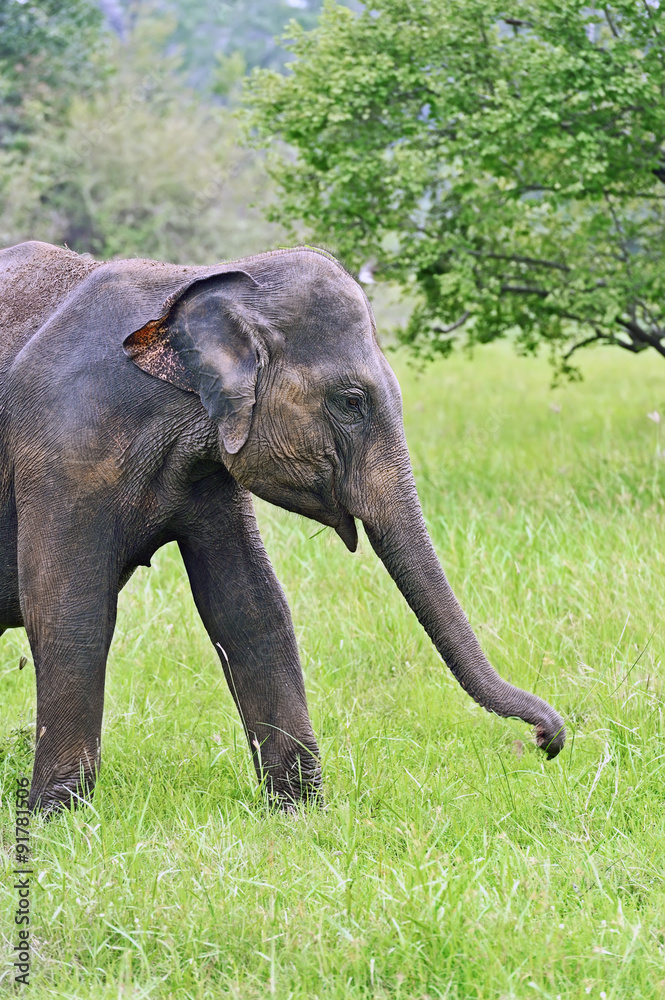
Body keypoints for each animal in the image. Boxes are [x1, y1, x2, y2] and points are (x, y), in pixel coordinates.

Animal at [0, 240, 565, 814]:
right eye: (352, 403)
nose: (548, 740)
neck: (199, 281)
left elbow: (251, 607)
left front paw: (300, 812)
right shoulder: (64, 446)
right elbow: (69, 611)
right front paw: (57, 816)